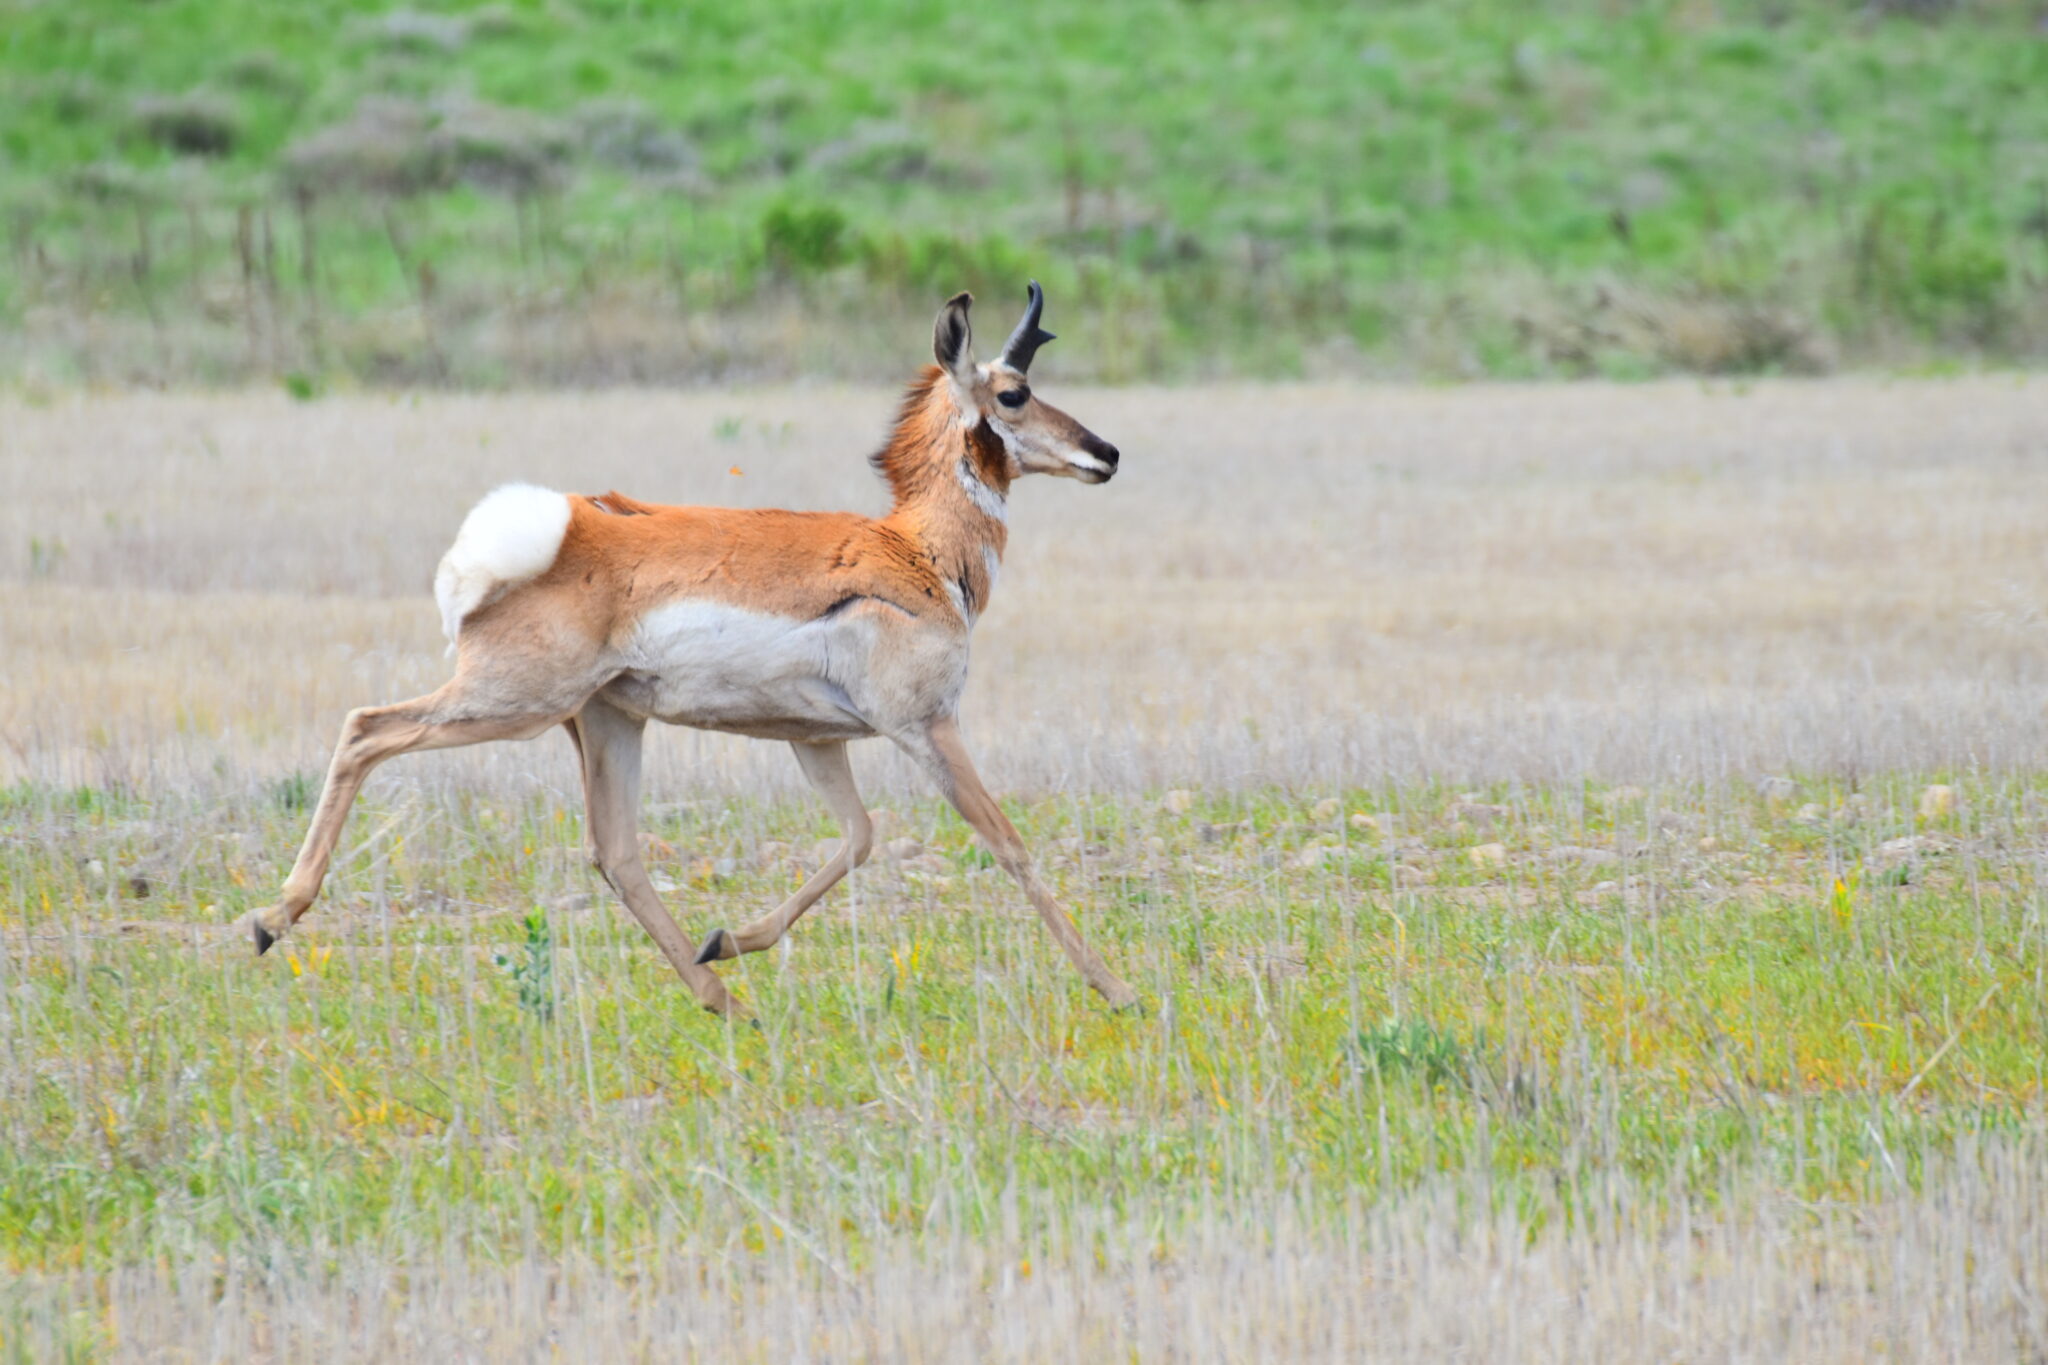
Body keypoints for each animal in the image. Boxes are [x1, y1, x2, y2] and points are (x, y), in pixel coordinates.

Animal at [249, 283, 1138, 1015]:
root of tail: (562, 527)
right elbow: (1009, 845)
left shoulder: (816, 739)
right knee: (367, 728)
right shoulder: (926, 728)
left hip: (606, 720)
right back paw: (270, 917)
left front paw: (729, 940)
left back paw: (723, 997)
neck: (914, 551)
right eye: (1014, 393)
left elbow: (859, 837)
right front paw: (1119, 989)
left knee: (616, 852)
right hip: (512, 703)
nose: (1107, 452)